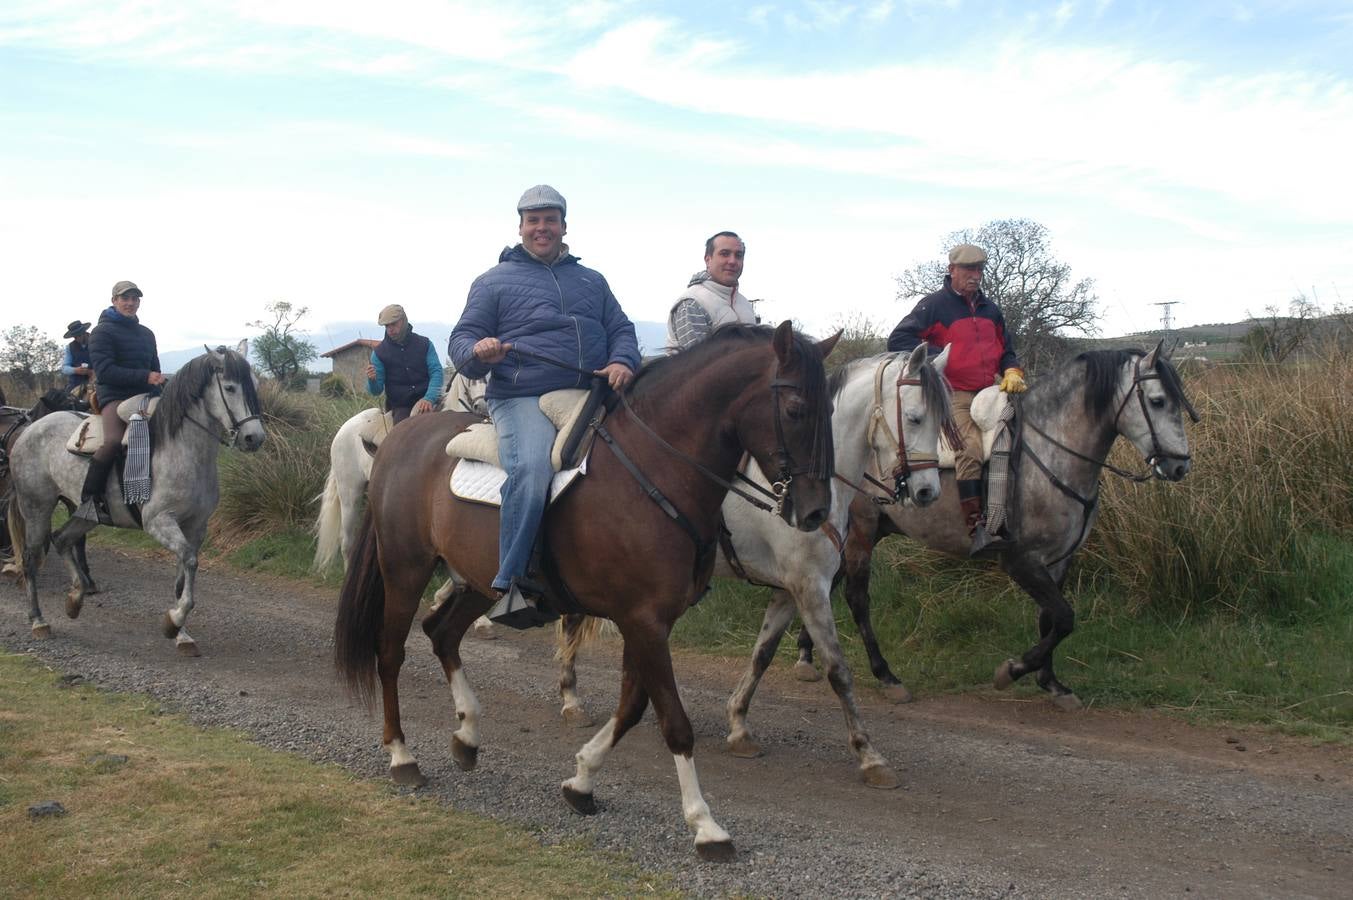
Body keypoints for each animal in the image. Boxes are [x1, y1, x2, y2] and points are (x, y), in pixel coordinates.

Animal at [7, 345, 265, 652]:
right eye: (229, 387)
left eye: (255, 385)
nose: (254, 438)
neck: (180, 451)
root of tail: (30, 428)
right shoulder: (159, 522)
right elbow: (190, 561)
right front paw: (174, 621)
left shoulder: (196, 526)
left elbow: (182, 576)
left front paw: (181, 634)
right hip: (36, 507)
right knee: (31, 557)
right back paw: (38, 620)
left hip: (84, 514)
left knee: (62, 539)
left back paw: (75, 599)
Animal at [331, 320, 833, 855]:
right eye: (796, 409)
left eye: (828, 410)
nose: (816, 512)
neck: (654, 471)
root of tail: (397, 439)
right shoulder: (644, 621)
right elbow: (674, 722)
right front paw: (705, 824)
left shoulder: (647, 621)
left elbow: (632, 707)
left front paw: (582, 781)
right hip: (405, 568)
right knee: (390, 652)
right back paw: (402, 756)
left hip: (479, 582)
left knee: (442, 633)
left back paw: (467, 735)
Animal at [554, 343, 957, 784]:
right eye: (914, 417)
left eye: (940, 421)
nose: (927, 491)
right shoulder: (810, 587)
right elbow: (838, 670)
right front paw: (869, 755)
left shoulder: (787, 591)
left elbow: (761, 656)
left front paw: (738, 725)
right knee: (570, 621)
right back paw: (571, 699)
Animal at [795, 343, 1201, 709]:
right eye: (1158, 401)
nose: (1180, 465)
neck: (1052, 450)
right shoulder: (1021, 560)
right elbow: (1064, 618)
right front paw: (1013, 670)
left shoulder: (1058, 561)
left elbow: (1050, 619)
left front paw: (1052, 683)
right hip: (862, 531)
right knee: (856, 597)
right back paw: (885, 675)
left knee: (828, 584)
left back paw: (805, 655)